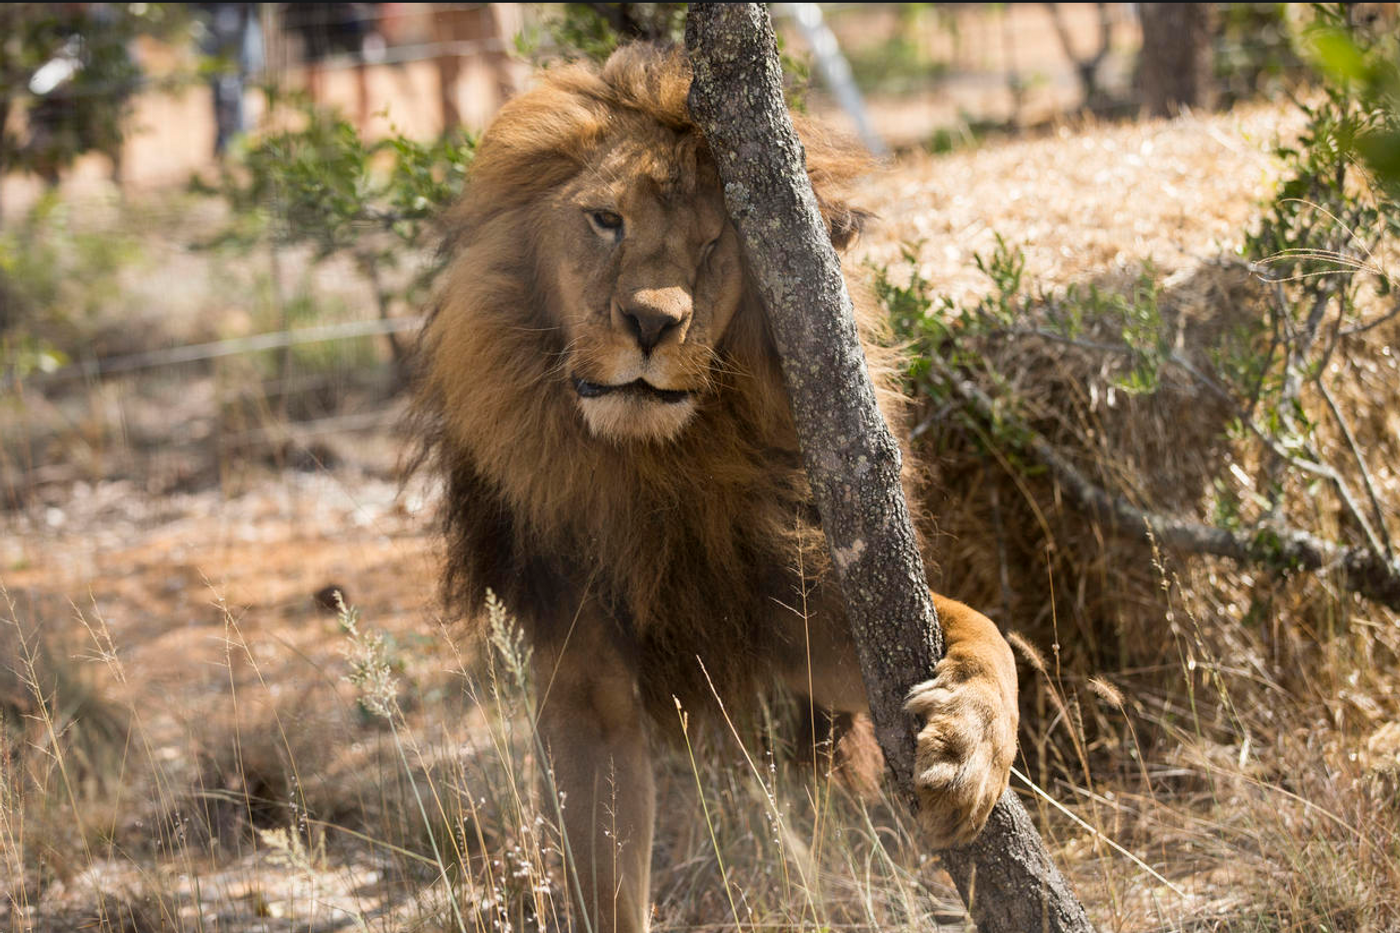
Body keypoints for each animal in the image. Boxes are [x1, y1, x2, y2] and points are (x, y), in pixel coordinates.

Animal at [411, 47, 1019, 930]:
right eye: (605, 220)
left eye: (711, 243)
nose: (652, 322)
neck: (656, 462)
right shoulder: (582, 671)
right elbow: (604, 868)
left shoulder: (804, 615)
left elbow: (977, 627)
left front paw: (970, 745)